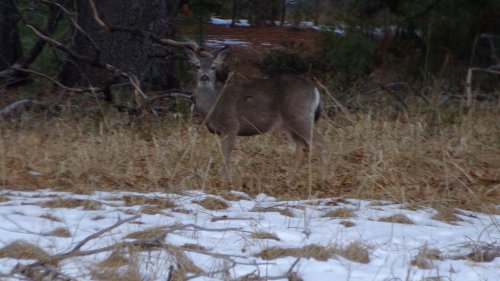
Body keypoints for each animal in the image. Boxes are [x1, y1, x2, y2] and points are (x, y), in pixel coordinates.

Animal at [166, 39, 326, 183]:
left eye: (213, 67)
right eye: (197, 66)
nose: (204, 78)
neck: (213, 105)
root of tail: (315, 90)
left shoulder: (231, 125)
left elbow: (226, 152)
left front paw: (224, 180)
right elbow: (223, 152)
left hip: (299, 115)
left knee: (320, 142)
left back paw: (323, 178)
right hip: (289, 123)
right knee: (302, 146)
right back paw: (289, 180)